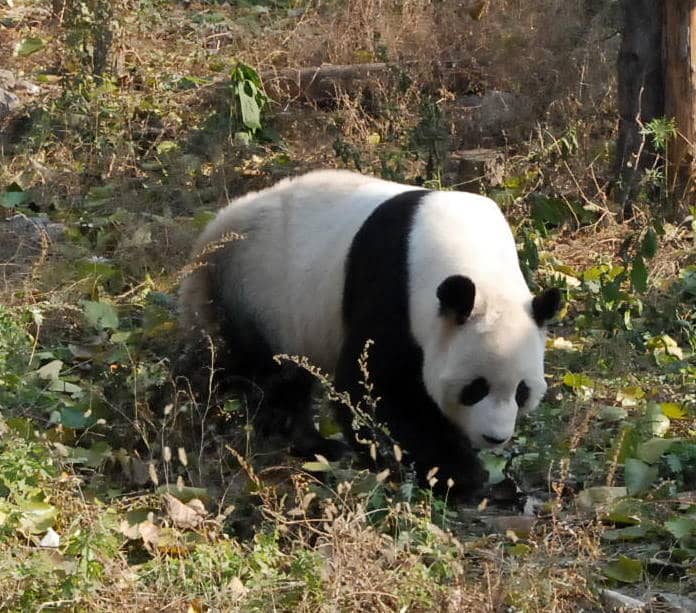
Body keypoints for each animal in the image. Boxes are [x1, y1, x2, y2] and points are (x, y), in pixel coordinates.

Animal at [179, 169, 560, 495]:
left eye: (522, 392)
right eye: (476, 388)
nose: (495, 437)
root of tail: (209, 232)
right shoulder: (391, 285)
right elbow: (375, 387)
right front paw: (458, 474)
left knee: (289, 379)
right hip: (246, 290)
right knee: (248, 369)